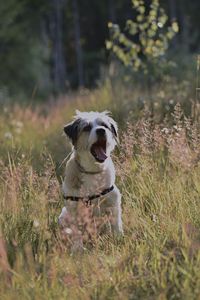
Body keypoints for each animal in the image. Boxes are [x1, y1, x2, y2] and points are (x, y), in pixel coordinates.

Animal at [58, 111, 122, 250]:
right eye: (87, 127)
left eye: (104, 125)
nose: (101, 130)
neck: (92, 170)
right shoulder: (74, 208)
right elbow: (76, 231)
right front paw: (77, 250)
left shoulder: (113, 201)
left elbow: (116, 225)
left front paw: (119, 239)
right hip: (63, 216)